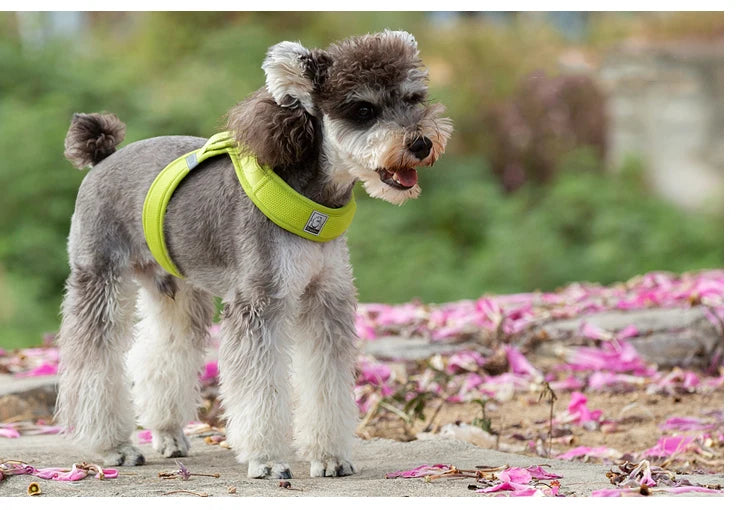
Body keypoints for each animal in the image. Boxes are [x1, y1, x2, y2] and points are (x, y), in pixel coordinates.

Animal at [57, 30, 452, 478]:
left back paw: (168, 433)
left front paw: (329, 456)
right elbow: (260, 387)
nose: (421, 143)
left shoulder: (325, 300)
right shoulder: (260, 303)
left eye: (414, 98)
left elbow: (326, 382)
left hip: (177, 288)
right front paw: (266, 459)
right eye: (363, 109)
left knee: (161, 351)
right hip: (98, 277)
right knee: (94, 361)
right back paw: (112, 446)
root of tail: (103, 159)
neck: (311, 197)